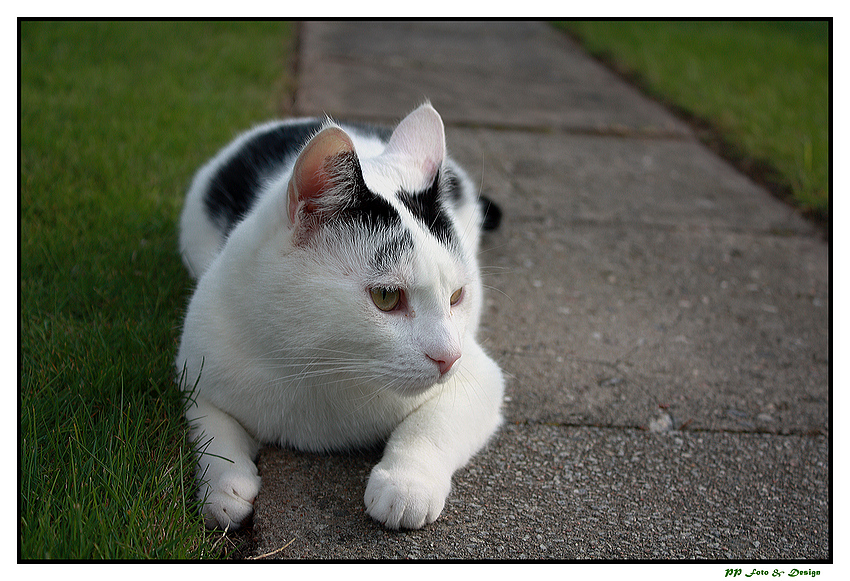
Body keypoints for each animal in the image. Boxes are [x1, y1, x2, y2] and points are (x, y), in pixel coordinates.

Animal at [175, 103, 500, 532]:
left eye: (457, 296)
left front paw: (405, 485)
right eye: (386, 297)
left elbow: (431, 426)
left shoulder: (480, 376)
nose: (449, 357)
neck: (324, 367)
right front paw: (224, 489)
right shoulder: (198, 370)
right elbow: (211, 431)